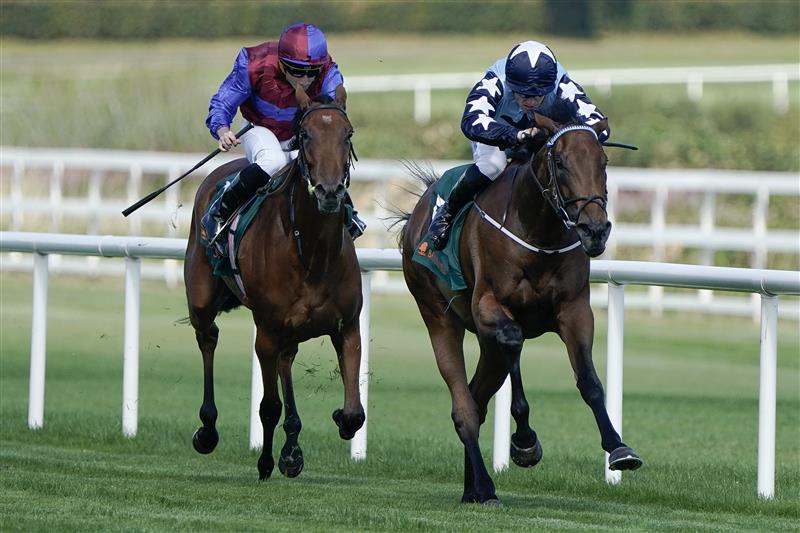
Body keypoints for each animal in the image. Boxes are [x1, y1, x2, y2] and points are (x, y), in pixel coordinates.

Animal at [184, 93, 366, 480]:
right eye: (306, 134)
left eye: (348, 133)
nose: (330, 192)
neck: (313, 253)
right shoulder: (266, 330)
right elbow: (268, 406)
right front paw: (266, 461)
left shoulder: (347, 327)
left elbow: (354, 414)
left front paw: (330, 424)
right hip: (202, 300)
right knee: (208, 338)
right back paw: (208, 429)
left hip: (290, 331)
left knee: (286, 360)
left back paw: (292, 445)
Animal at [404, 113, 640, 502]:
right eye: (560, 163)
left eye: (603, 162)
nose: (594, 230)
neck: (538, 234)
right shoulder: (490, 307)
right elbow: (514, 341)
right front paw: (525, 442)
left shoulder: (575, 311)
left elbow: (589, 381)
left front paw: (618, 447)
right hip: (437, 315)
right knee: (464, 406)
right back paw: (485, 486)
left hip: (486, 342)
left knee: (477, 399)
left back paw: (473, 488)